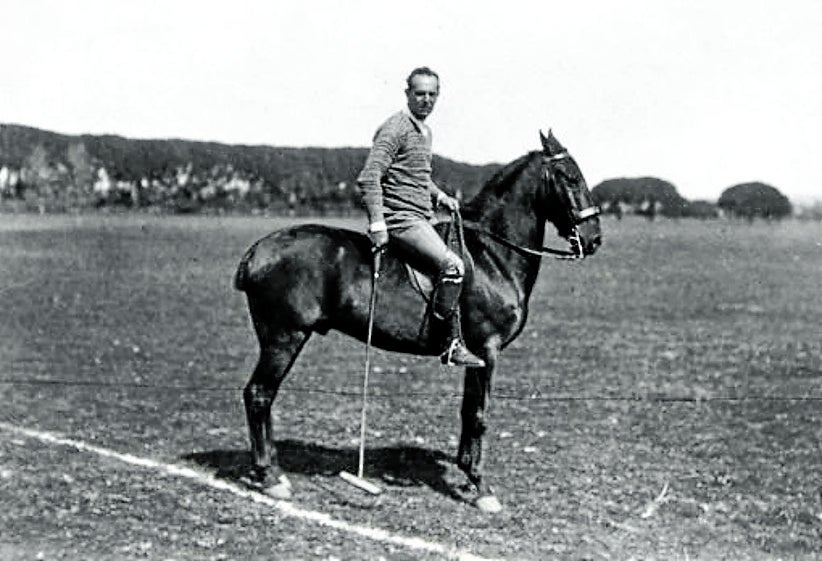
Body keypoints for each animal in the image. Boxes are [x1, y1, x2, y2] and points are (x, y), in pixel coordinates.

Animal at [233, 130, 602, 512]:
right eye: (570, 177)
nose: (593, 239)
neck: (492, 254)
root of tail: (256, 252)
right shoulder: (488, 349)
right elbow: (479, 415)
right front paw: (481, 486)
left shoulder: (476, 356)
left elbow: (467, 410)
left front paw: (467, 473)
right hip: (284, 336)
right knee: (259, 394)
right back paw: (270, 476)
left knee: (263, 395)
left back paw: (272, 469)